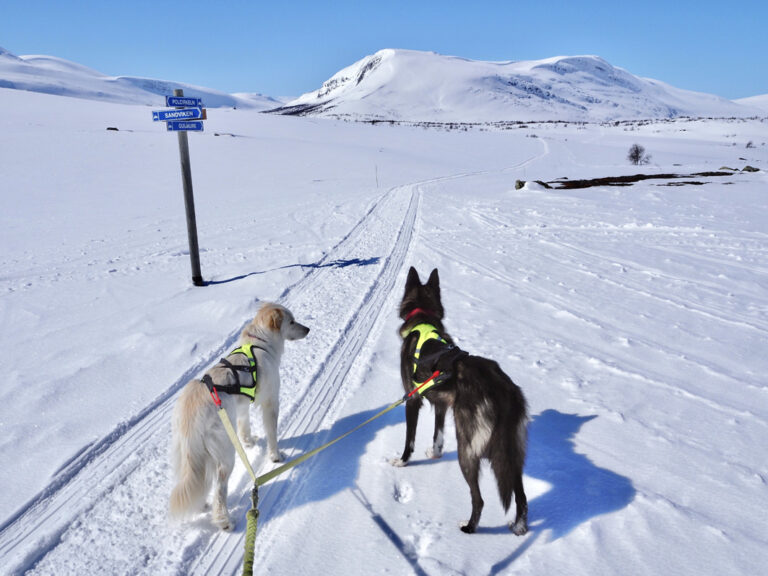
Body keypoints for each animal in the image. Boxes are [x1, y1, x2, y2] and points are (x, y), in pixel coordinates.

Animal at [171, 302, 308, 532]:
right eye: (292, 322)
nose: (308, 329)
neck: (260, 343)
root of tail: (192, 409)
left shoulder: (242, 408)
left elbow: (245, 427)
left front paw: (250, 442)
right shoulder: (271, 402)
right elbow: (272, 433)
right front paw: (276, 456)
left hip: (188, 455)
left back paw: (201, 505)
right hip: (225, 454)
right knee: (219, 489)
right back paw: (224, 521)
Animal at [396, 266, 528, 536]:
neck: (423, 320)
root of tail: (503, 392)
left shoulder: (412, 400)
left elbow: (409, 440)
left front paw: (402, 461)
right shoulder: (441, 404)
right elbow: (437, 435)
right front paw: (434, 453)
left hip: (466, 449)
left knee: (479, 499)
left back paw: (469, 527)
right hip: (513, 452)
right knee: (520, 495)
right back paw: (519, 526)